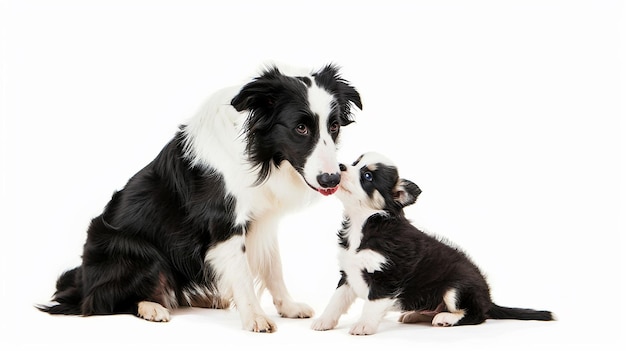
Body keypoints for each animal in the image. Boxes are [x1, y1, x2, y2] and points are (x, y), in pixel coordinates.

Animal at [39, 64, 360, 334]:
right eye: (300, 128)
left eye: (334, 127)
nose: (332, 180)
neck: (259, 153)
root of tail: (82, 282)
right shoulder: (225, 224)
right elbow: (243, 274)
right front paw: (255, 317)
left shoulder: (262, 218)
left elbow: (273, 267)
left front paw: (288, 307)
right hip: (142, 255)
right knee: (102, 303)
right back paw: (153, 307)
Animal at [310, 153, 552, 336]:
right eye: (354, 163)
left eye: (367, 176)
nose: (340, 167)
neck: (362, 222)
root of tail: (489, 300)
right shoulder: (348, 274)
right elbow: (335, 301)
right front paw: (323, 321)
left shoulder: (386, 277)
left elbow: (371, 304)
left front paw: (363, 326)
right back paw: (416, 314)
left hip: (456, 288)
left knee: (477, 315)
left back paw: (445, 318)